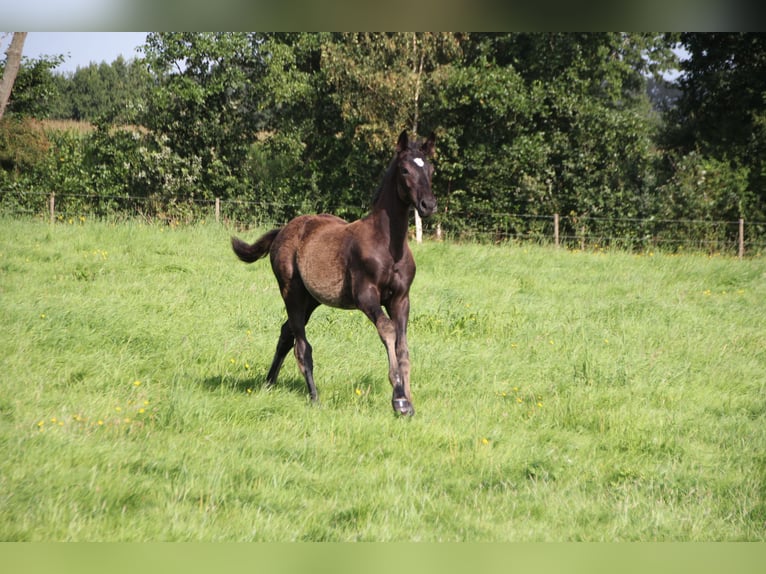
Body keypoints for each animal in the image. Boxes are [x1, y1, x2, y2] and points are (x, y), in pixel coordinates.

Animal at [231, 132, 438, 418]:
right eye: (405, 170)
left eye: (431, 169)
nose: (428, 205)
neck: (388, 245)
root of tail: (284, 230)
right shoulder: (366, 296)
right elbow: (388, 330)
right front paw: (399, 400)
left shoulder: (401, 299)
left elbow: (403, 346)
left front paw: (409, 402)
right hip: (291, 292)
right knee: (301, 345)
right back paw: (314, 398)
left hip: (311, 299)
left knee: (286, 333)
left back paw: (268, 383)